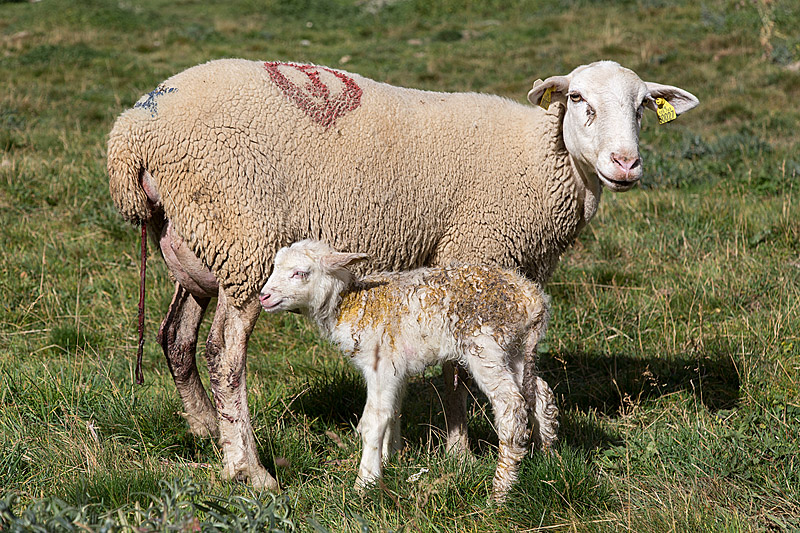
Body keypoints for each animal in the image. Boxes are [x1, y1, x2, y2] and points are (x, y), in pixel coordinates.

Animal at [260, 239, 560, 500]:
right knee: (540, 394)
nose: (264, 297)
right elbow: (393, 411)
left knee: (512, 407)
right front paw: (390, 457)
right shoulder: (397, 368)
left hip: (487, 346)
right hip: (517, 349)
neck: (352, 304)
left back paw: (499, 492)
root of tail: (532, 299)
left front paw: (365, 482)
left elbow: (373, 419)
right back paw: (549, 459)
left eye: (300, 273)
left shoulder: (380, 364)